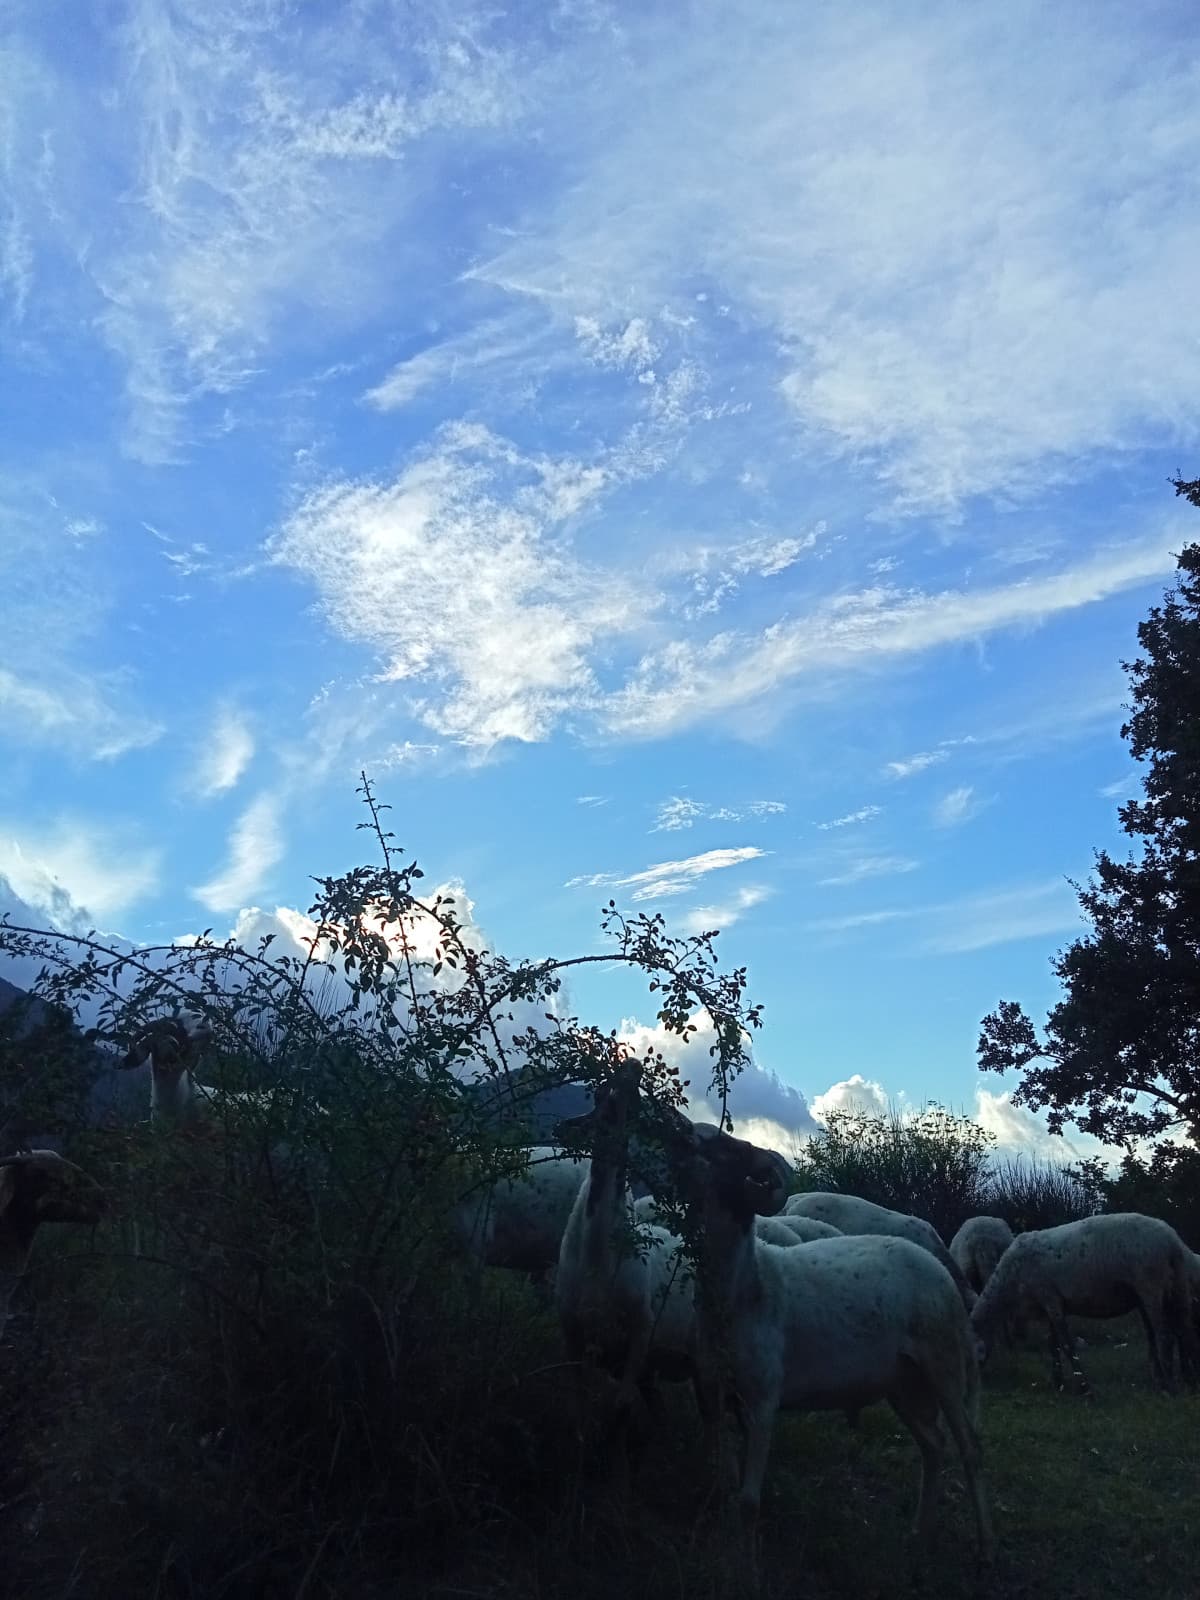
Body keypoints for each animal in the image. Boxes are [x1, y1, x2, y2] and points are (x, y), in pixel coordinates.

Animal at [972, 1216, 1196, 1395]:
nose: (983, 1382)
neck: (1008, 1285)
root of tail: (1172, 1241)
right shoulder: (1048, 1306)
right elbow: (1052, 1345)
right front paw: (1058, 1383)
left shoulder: (1050, 1299)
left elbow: (1066, 1345)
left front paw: (1084, 1388)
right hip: (1176, 1286)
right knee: (1183, 1331)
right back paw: (1187, 1379)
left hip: (1151, 1286)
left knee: (1165, 1335)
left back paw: (1169, 1386)